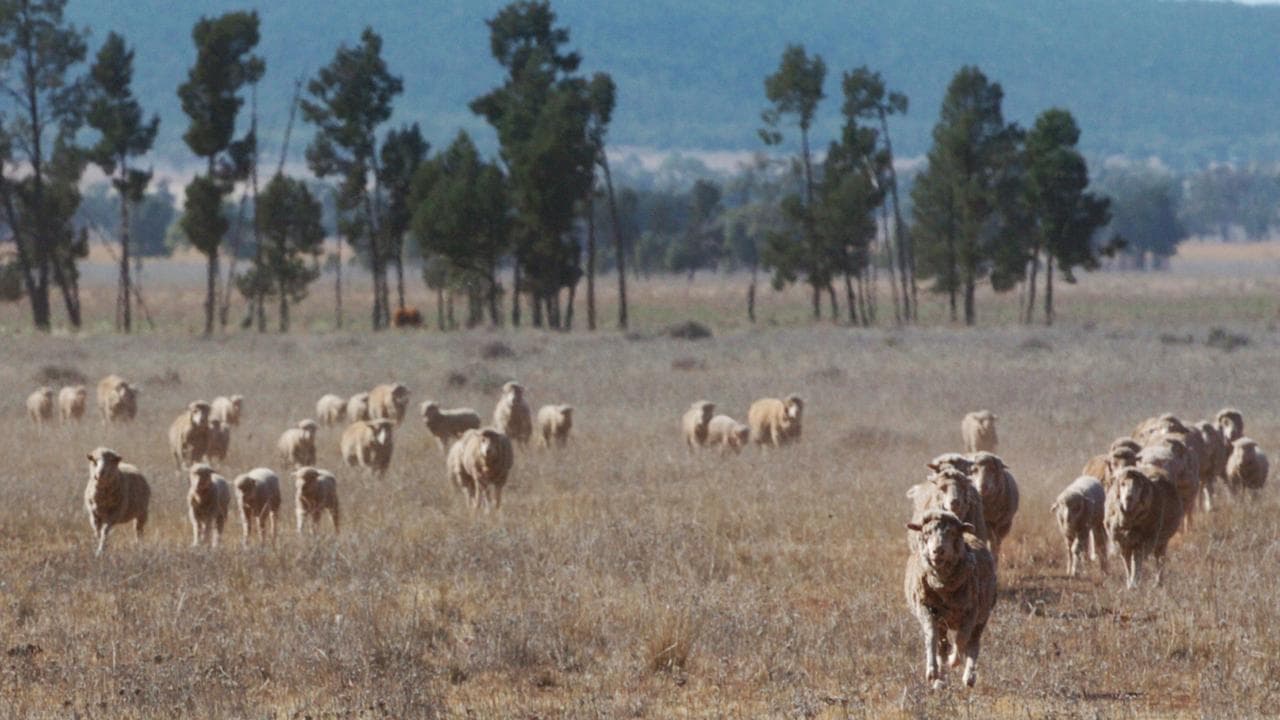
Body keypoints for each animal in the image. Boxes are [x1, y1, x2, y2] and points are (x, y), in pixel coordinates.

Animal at [904, 509, 996, 689]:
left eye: (952, 533)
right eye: (926, 533)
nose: (937, 551)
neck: (943, 587)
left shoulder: (971, 612)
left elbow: (961, 639)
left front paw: (954, 661)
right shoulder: (926, 609)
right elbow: (931, 636)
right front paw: (932, 672)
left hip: (981, 617)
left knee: (973, 644)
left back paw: (969, 677)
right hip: (943, 620)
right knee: (942, 645)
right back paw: (941, 677)